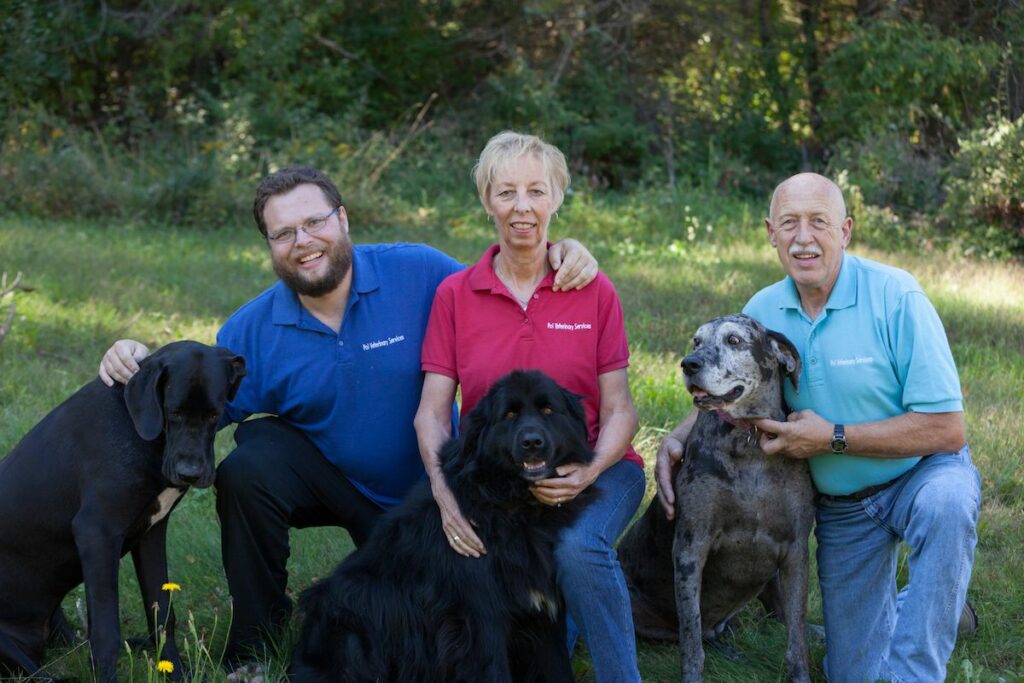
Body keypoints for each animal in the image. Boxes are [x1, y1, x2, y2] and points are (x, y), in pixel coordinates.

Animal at [290, 370, 593, 683]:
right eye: (509, 415)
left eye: (548, 411)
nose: (532, 442)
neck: (510, 501)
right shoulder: (481, 617)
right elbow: (493, 669)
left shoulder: (545, 611)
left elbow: (557, 667)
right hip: (354, 618)